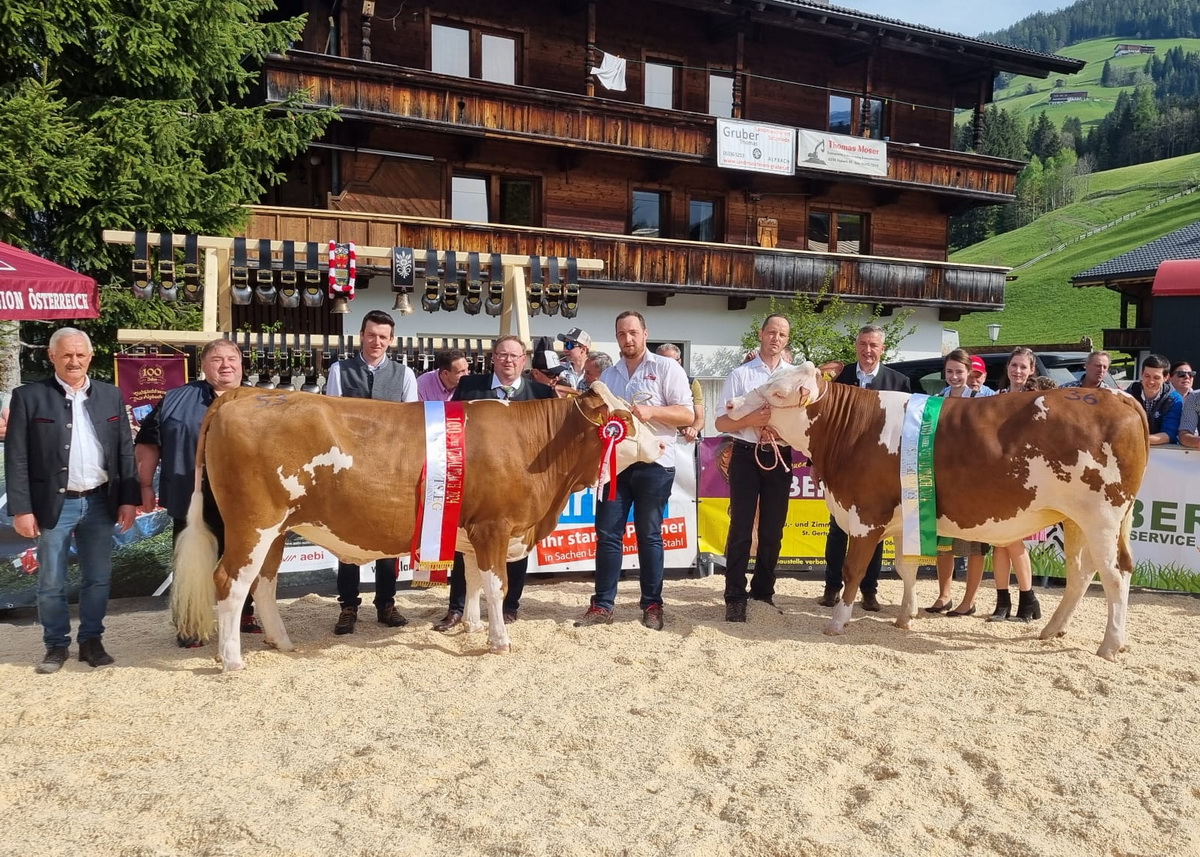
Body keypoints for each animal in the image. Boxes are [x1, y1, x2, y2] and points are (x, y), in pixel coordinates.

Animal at [171, 381, 667, 667]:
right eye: (623, 419)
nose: (664, 445)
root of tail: (246, 392)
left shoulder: (471, 532)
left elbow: (472, 581)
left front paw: (470, 628)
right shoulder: (494, 526)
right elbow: (497, 585)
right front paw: (498, 641)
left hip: (276, 530)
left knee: (265, 583)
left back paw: (282, 643)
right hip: (253, 523)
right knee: (230, 582)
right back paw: (232, 661)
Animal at [724, 364, 1147, 657]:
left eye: (777, 392)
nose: (730, 403)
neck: (851, 431)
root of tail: (1118, 397)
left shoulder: (864, 516)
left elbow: (853, 570)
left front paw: (838, 622)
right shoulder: (901, 519)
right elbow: (905, 567)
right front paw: (905, 616)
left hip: (1102, 516)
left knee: (1115, 575)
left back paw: (1111, 645)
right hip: (1076, 520)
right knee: (1081, 573)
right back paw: (1052, 630)